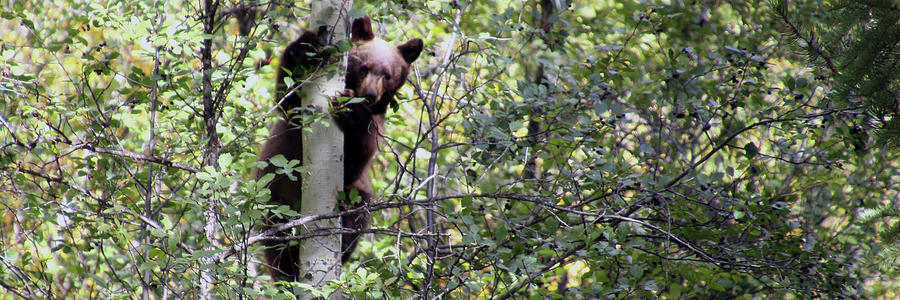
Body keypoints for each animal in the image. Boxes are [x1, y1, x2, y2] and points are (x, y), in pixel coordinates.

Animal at [253, 15, 422, 280]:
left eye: (388, 75)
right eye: (364, 67)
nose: (370, 94)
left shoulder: (375, 126)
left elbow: (358, 156)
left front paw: (350, 108)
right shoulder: (293, 116)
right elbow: (286, 98)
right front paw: (306, 47)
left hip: (356, 197)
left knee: (355, 215)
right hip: (273, 198)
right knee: (277, 241)